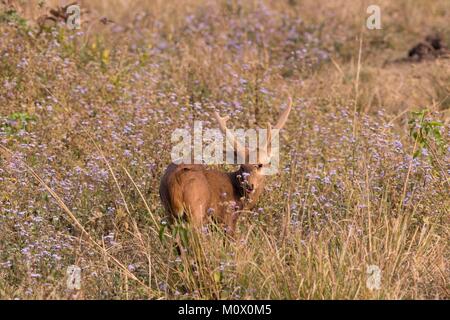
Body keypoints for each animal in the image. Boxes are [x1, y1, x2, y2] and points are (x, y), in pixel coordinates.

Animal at [158, 99, 292, 236]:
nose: (249, 185)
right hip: (195, 210)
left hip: (169, 210)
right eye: (242, 166)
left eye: (260, 165)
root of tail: (176, 179)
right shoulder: (228, 218)